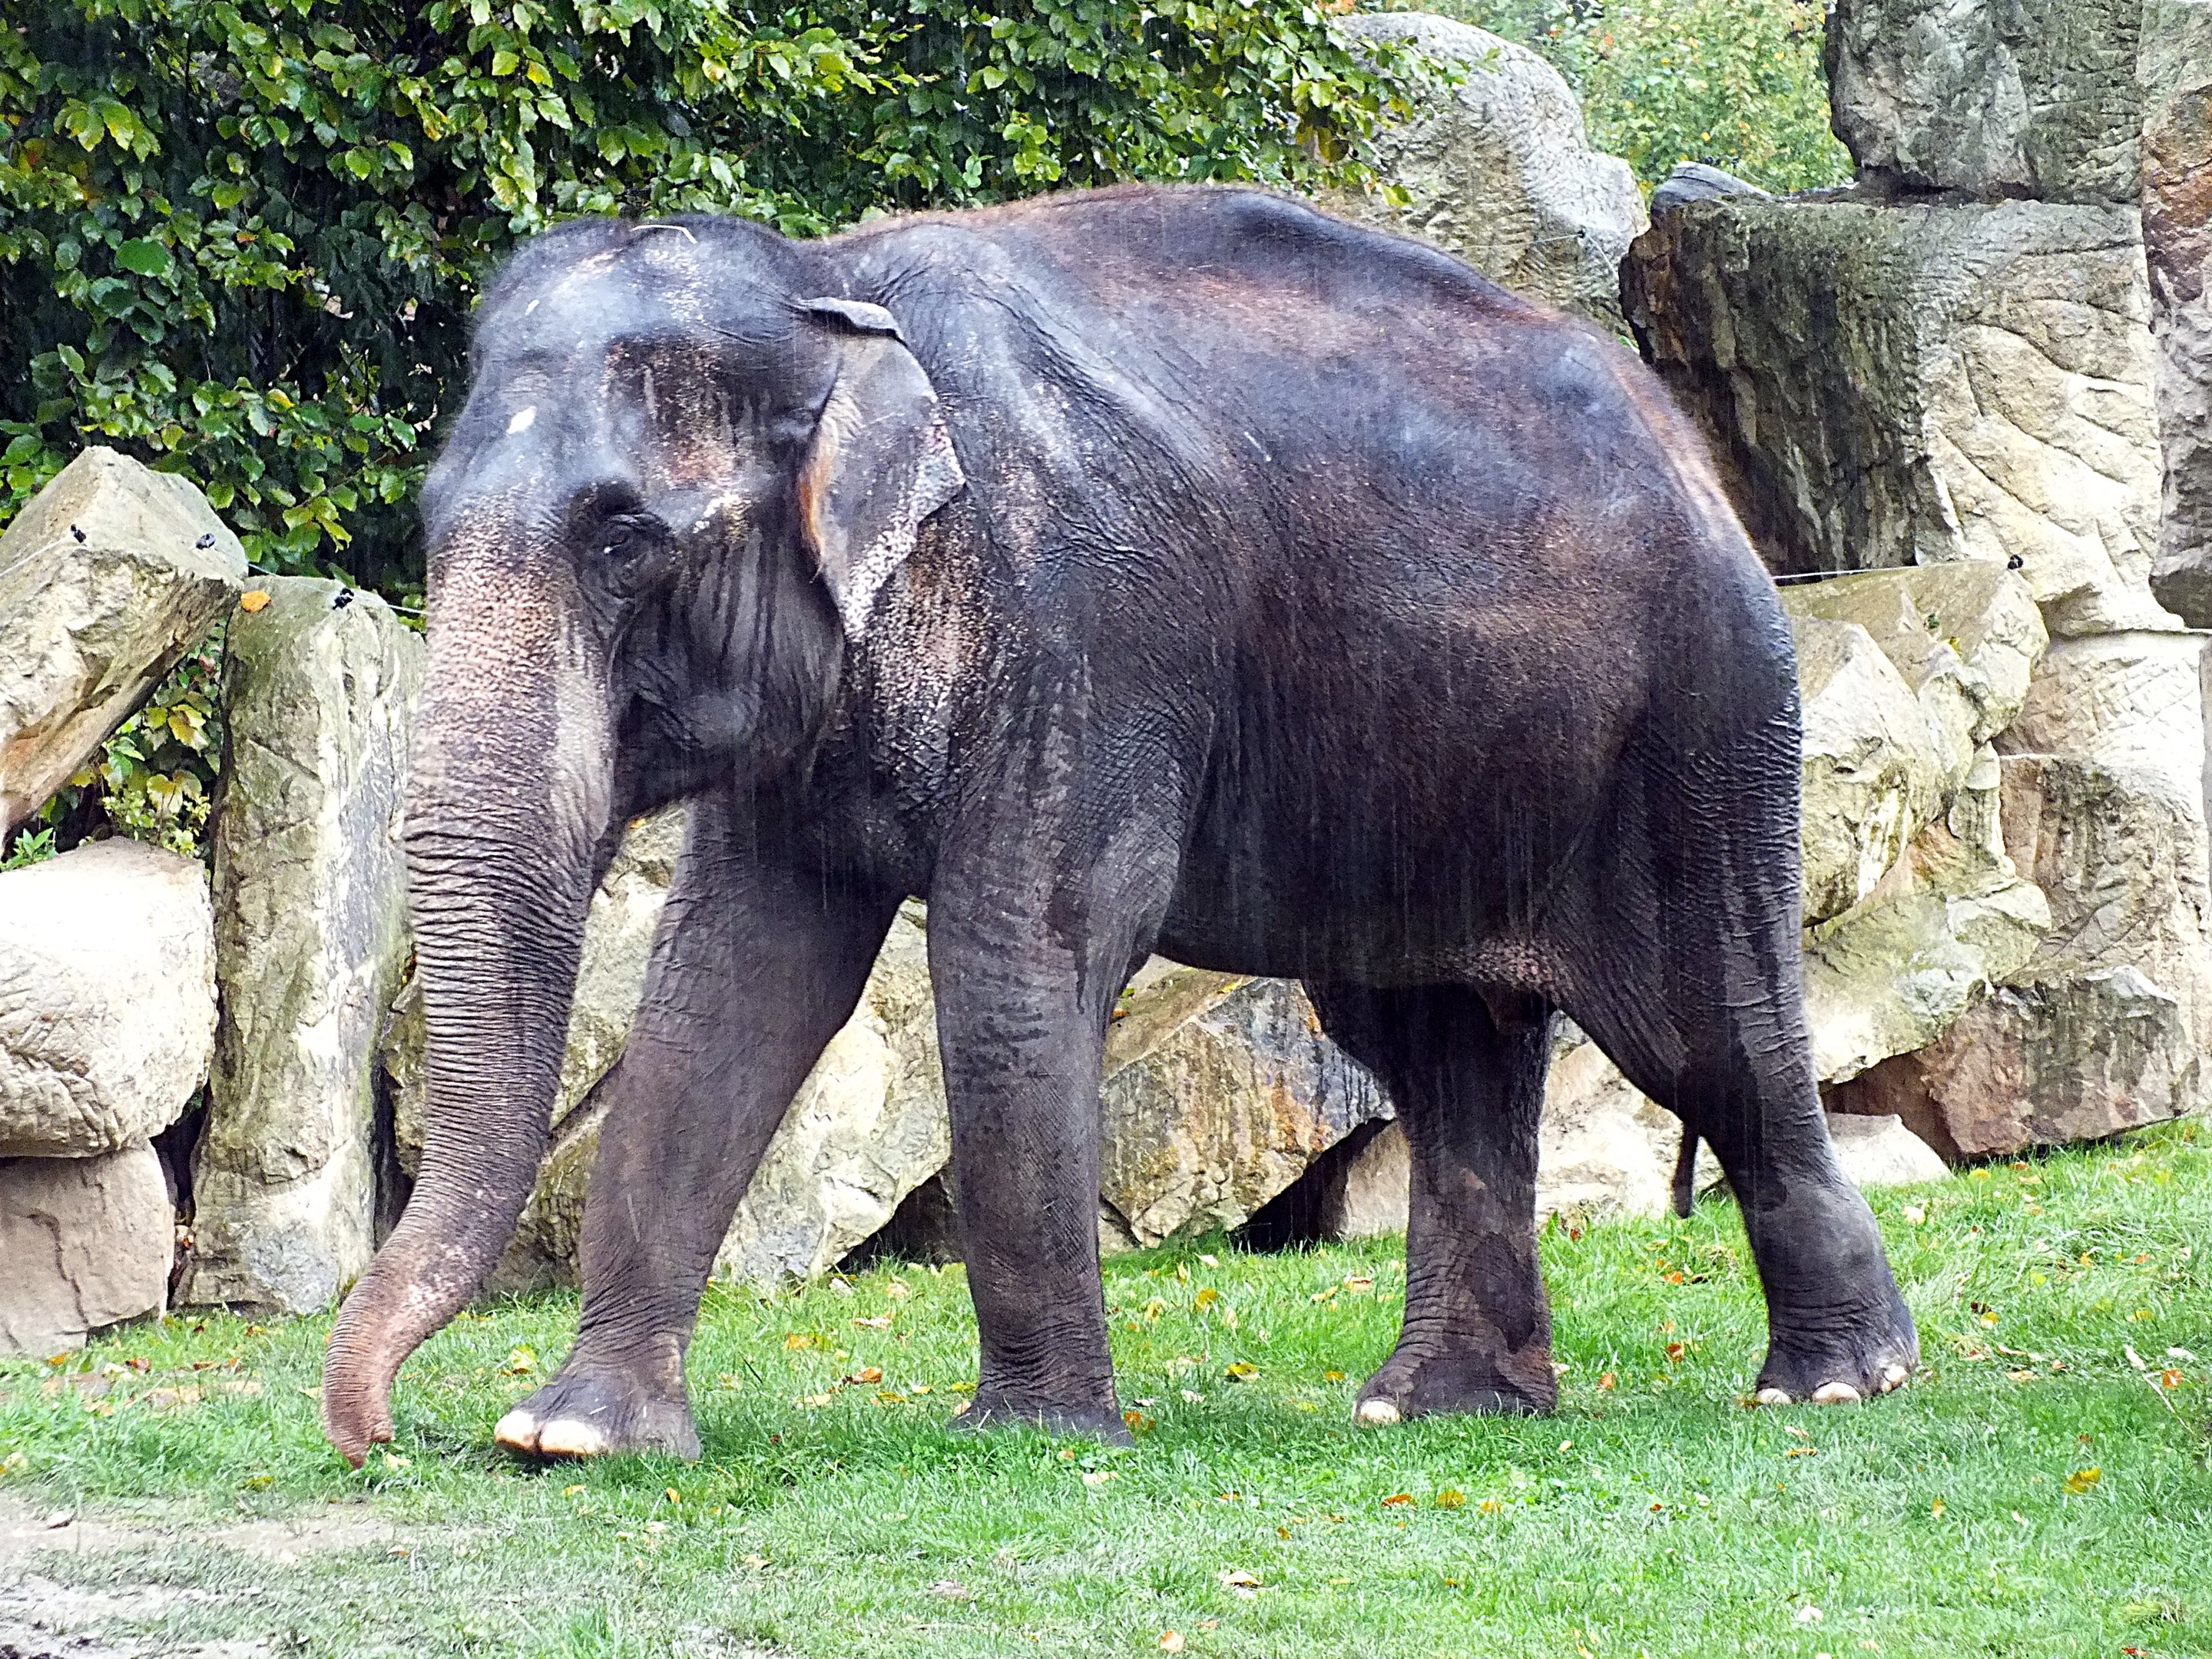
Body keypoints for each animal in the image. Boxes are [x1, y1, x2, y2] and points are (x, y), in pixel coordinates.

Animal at [319, 182, 1919, 1467]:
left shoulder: (1086, 626)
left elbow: (1014, 968)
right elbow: (733, 988)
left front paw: (1031, 1437)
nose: (380, 1438)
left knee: (1703, 1030)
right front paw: (573, 1438)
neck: (831, 287)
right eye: (432, 519)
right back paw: (1439, 1407)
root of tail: (1693, 455)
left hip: (1697, 717)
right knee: (1436, 1047)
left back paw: (1835, 1387)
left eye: (623, 538)